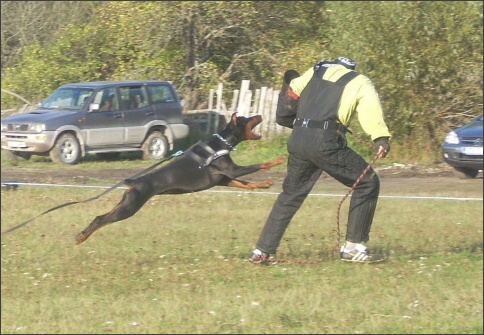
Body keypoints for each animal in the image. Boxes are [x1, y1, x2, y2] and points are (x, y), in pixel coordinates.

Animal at [75, 114, 286, 245]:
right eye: (247, 118)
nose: (259, 115)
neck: (220, 144)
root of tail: (132, 183)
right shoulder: (232, 171)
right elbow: (260, 165)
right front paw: (279, 159)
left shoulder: (223, 180)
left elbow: (248, 184)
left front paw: (265, 184)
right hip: (130, 207)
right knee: (103, 219)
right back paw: (82, 237)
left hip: (125, 203)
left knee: (100, 217)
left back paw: (81, 235)